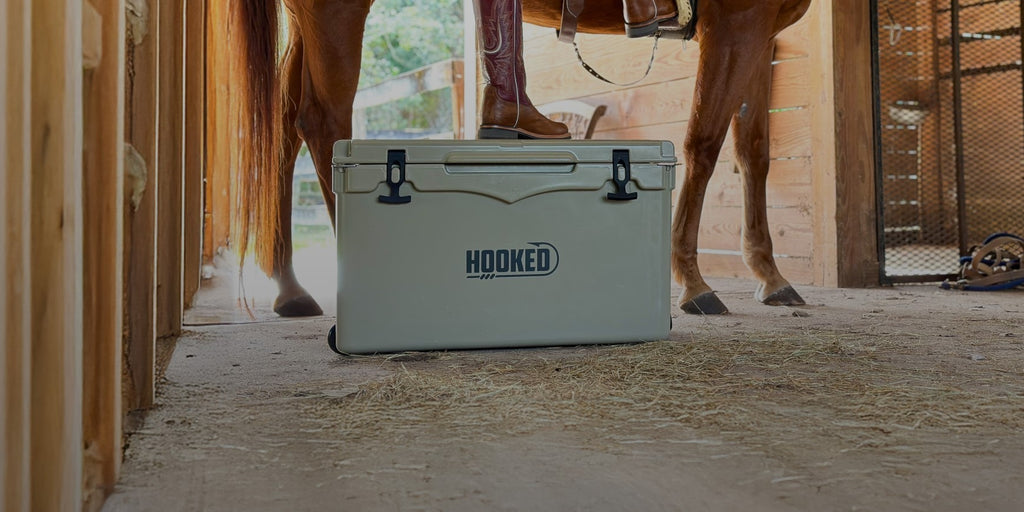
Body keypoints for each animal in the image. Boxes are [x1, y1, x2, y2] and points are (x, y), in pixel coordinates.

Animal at [230, 0, 806, 315]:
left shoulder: (760, 32)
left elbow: (753, 151)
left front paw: (769, 274)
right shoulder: (736, 19)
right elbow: (703, 145)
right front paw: (693, 281)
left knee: (284, 124)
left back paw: (289, 288)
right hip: (336, 7)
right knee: (321, 120)